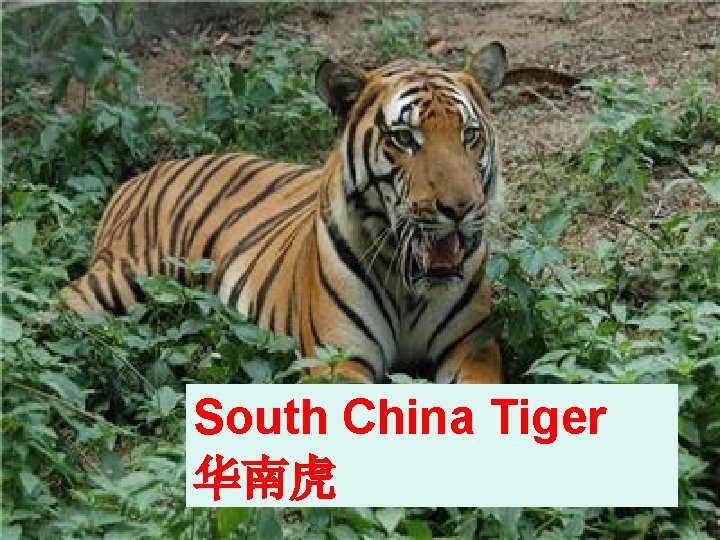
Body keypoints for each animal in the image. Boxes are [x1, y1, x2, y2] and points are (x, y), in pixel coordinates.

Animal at [61, 41, 508, 384]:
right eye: (404, 138)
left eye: (469, 134)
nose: (460, 208)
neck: (408, 288)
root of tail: (139, 176)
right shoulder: (336, 358)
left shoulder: (472, 349)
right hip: (125, 275)